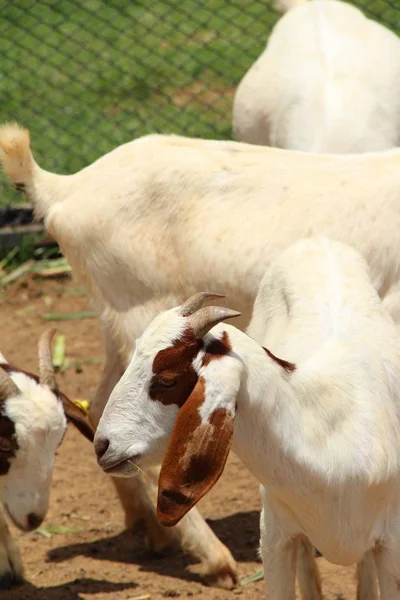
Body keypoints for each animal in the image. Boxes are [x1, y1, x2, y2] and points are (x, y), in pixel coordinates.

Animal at [94, 237, 400, 596]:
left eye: (167, 380)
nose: (102, 445)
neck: (328, 431)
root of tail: (317, 241)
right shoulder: (275, 537)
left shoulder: (391, 545)